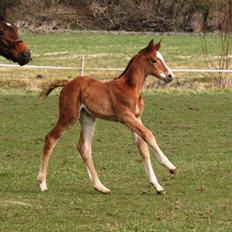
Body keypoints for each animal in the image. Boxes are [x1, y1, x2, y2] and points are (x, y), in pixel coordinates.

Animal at [37, 40, 176, 194]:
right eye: (154, 60)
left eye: (162, 58)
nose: (170, 76)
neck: (130, 88)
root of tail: (67, 84)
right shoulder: (125, 117)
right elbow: (149, 135)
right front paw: (170, 166)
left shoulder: (136, 117)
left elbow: (143, 148)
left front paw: (157, 186)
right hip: (68, 117)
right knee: (51, 138)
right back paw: (42, 183)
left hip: (88, 118)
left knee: (84, 147)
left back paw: (100, 186)